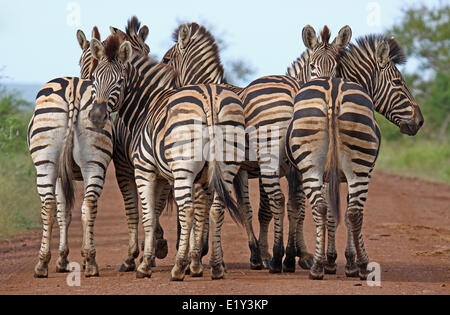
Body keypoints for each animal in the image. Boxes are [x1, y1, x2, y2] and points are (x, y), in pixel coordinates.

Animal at [27, 17, 151, 278]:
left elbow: (64, 212)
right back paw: (66, 262)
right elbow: (64, 211)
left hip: (64, 163)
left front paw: (64, 258)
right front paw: (64, 258)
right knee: (75, 205)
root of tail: (72, 91)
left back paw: (67, 262)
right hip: (79, 163)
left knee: (63, 206)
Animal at [88, 34, 246, 282]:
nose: (96, 116)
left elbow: (149, 215)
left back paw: (178, 269)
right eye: (94, 78)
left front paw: (145, 264)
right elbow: (192, 213)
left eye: (120, 81)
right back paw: (216, 267)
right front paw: (195, 262)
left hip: (183, 169)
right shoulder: (174, 177)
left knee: (188, 210)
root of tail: (210, 97)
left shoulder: (145, 170)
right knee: (216, 210)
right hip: (226, 168)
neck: (147, 105)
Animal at [286, 35, 424, 282]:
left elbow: (330, 212)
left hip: (311, 165)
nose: (419, 121)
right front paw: (345, 260)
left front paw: (330, 260)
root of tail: (332, 94)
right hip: (359, 167)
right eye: (398, 82)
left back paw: (311, 264)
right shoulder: (357, 171)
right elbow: (344, 213)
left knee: (317, 207)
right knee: (354, 212)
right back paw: (361, 265)